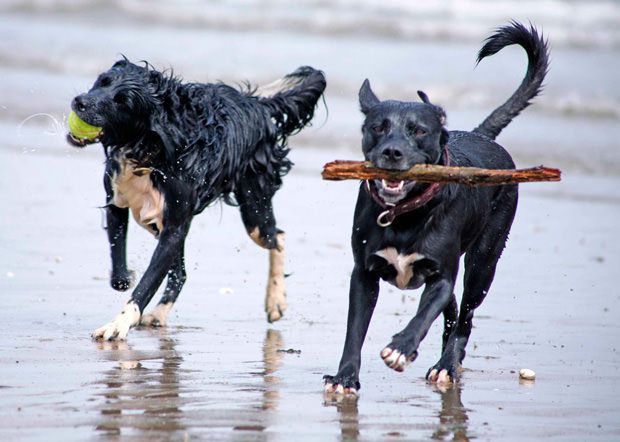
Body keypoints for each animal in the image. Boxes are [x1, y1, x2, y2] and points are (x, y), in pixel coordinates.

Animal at [68, 59, 326, 342]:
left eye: (123, 101)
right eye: (103, 81)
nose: (80, 102)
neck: (149, 146)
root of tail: (258, 104)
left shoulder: (173, 225)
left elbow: (146, 284)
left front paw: (119, 324)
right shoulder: (118, 201)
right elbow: (119, 267)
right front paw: (125, 279)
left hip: (254, 209)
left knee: (277, 237)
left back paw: (276, 301)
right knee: (181, 273)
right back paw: (159, 313)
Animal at [324, 22, 548, 394]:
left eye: (418, 131)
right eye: (377, 127)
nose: (392, 153)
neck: (403, 213)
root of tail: (481, 136)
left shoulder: (441, 274)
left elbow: (425, 313)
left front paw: (401, 348)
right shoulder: (364, 274)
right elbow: (355, 328)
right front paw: (345, 378)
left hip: (484, 261)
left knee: (465, 314)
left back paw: (446, 365)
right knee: (454, 310)